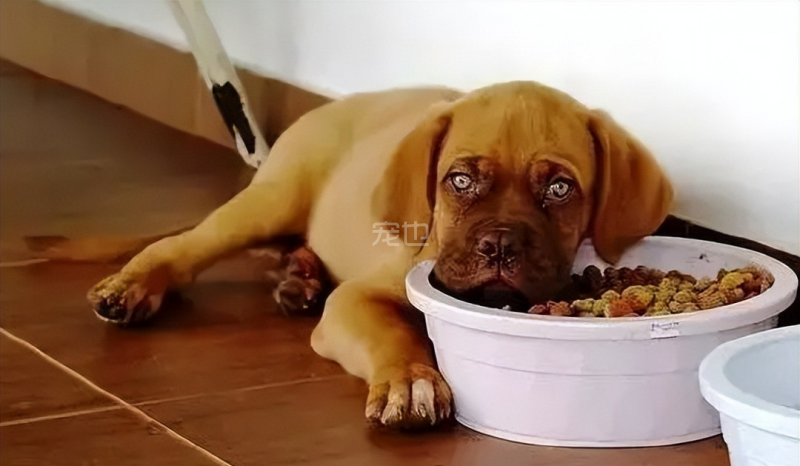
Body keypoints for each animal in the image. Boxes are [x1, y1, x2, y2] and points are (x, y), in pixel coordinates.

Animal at [29, 82, 673, 430]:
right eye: (460, 181)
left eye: (560, 189)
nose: (498, 246)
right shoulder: (359, 300)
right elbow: (396, 335)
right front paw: (410, 382)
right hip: (271, 200)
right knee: (183, 247)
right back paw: (133, 285)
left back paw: (299, 277)